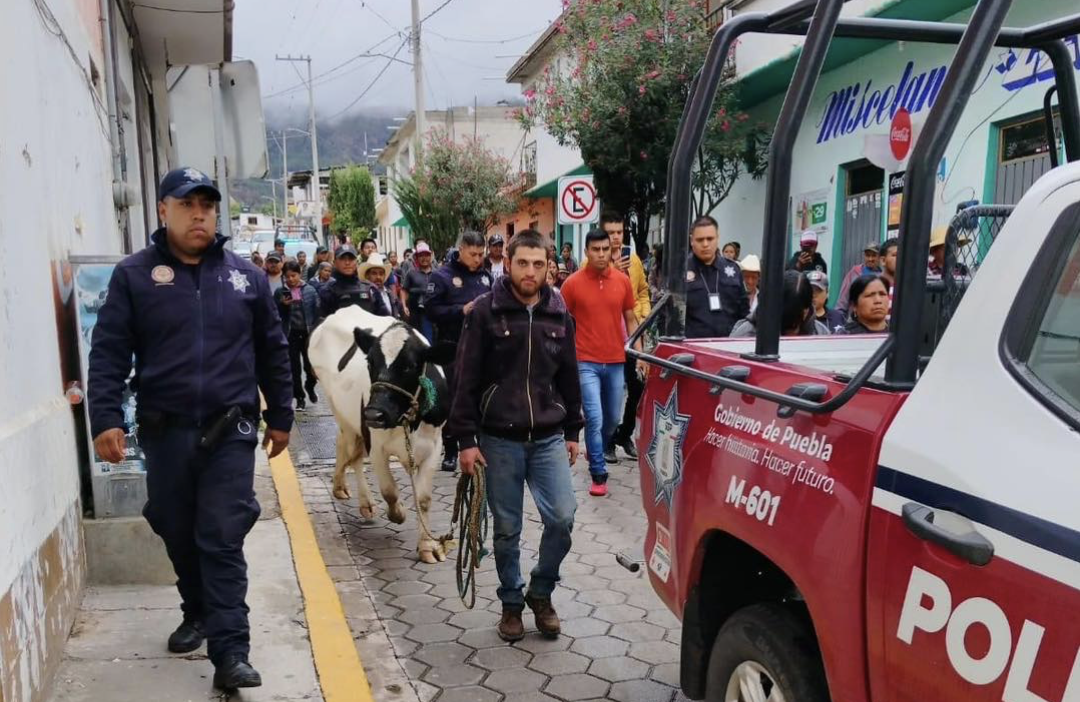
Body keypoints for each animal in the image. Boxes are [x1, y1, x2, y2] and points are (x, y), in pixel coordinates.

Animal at [308, 306, 451, 561]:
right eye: (370, 363)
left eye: (409, 365)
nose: (375, 414)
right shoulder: (375, 446)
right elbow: (389, 490)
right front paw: (398, 513)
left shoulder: (434, 446)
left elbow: (424, 499)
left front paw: (427, 546)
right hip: (341, 410)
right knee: (350, 450)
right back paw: (357, 497)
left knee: (346, 446)